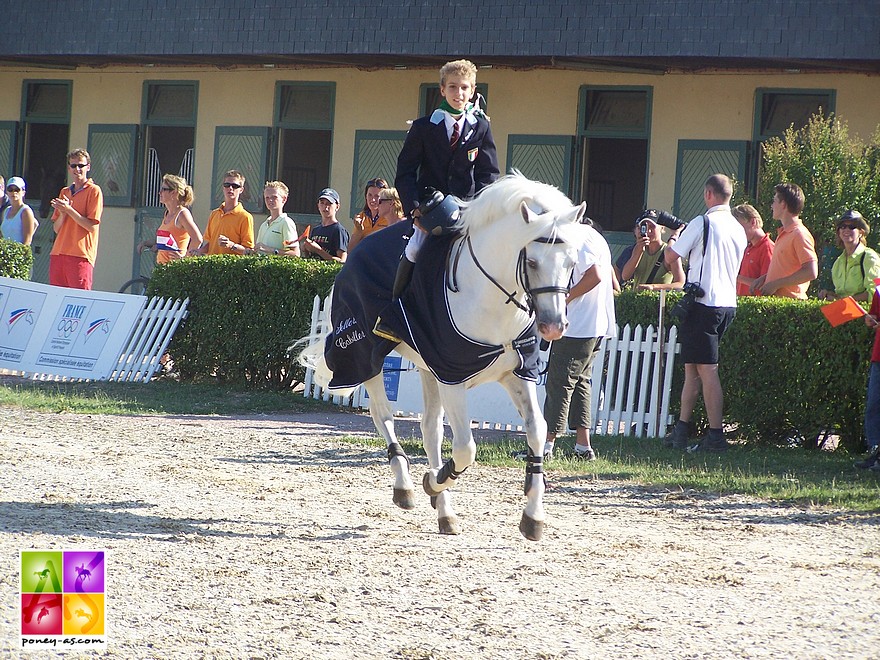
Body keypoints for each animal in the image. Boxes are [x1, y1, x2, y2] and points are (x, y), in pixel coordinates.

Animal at [300, 173, 588, 540]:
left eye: (572, 261)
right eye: (533, 262)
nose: (553, 326)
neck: (492, 297)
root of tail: (355, 252)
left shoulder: (517, 373)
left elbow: (537, 431)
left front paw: (533, 516)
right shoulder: (453, 377)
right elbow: (465, 448)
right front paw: (432, 482)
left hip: (427, 368)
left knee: (429, 428)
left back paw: (444, 512)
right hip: (366, 357)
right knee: (384, 416)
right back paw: (407, 486)